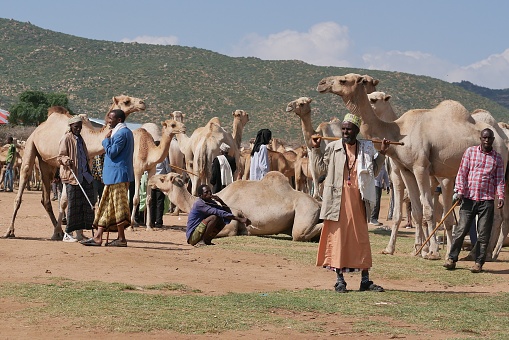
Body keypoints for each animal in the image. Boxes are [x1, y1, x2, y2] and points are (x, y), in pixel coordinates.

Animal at [4, 95, 145, 239]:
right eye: (126, 101)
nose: (142, 103)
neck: (87, 137)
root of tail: (38, 128)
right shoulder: (65, 162)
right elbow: (64, 201)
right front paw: (59, 232)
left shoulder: (87, 163)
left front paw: (79, 234)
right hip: (31, 146)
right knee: (24, 179)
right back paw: (10, 231)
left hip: (46, 164)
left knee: (45, 198)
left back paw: (59, 230)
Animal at [147, 171, 322, 240]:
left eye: (162, 179)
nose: (150, 180)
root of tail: (317, 204)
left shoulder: (231, 225)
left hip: (305, 211)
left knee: (299, 233)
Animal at [316, 73, 506, 260]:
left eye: (343, 80)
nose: (321, 83)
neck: (398, 132)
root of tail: (501, 138)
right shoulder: (406, 170)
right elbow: (416, 212)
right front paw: (410, 249)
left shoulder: (420, 167)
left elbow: (428, 210)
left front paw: (432, 252)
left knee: (496, 214)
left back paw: (485, 253)